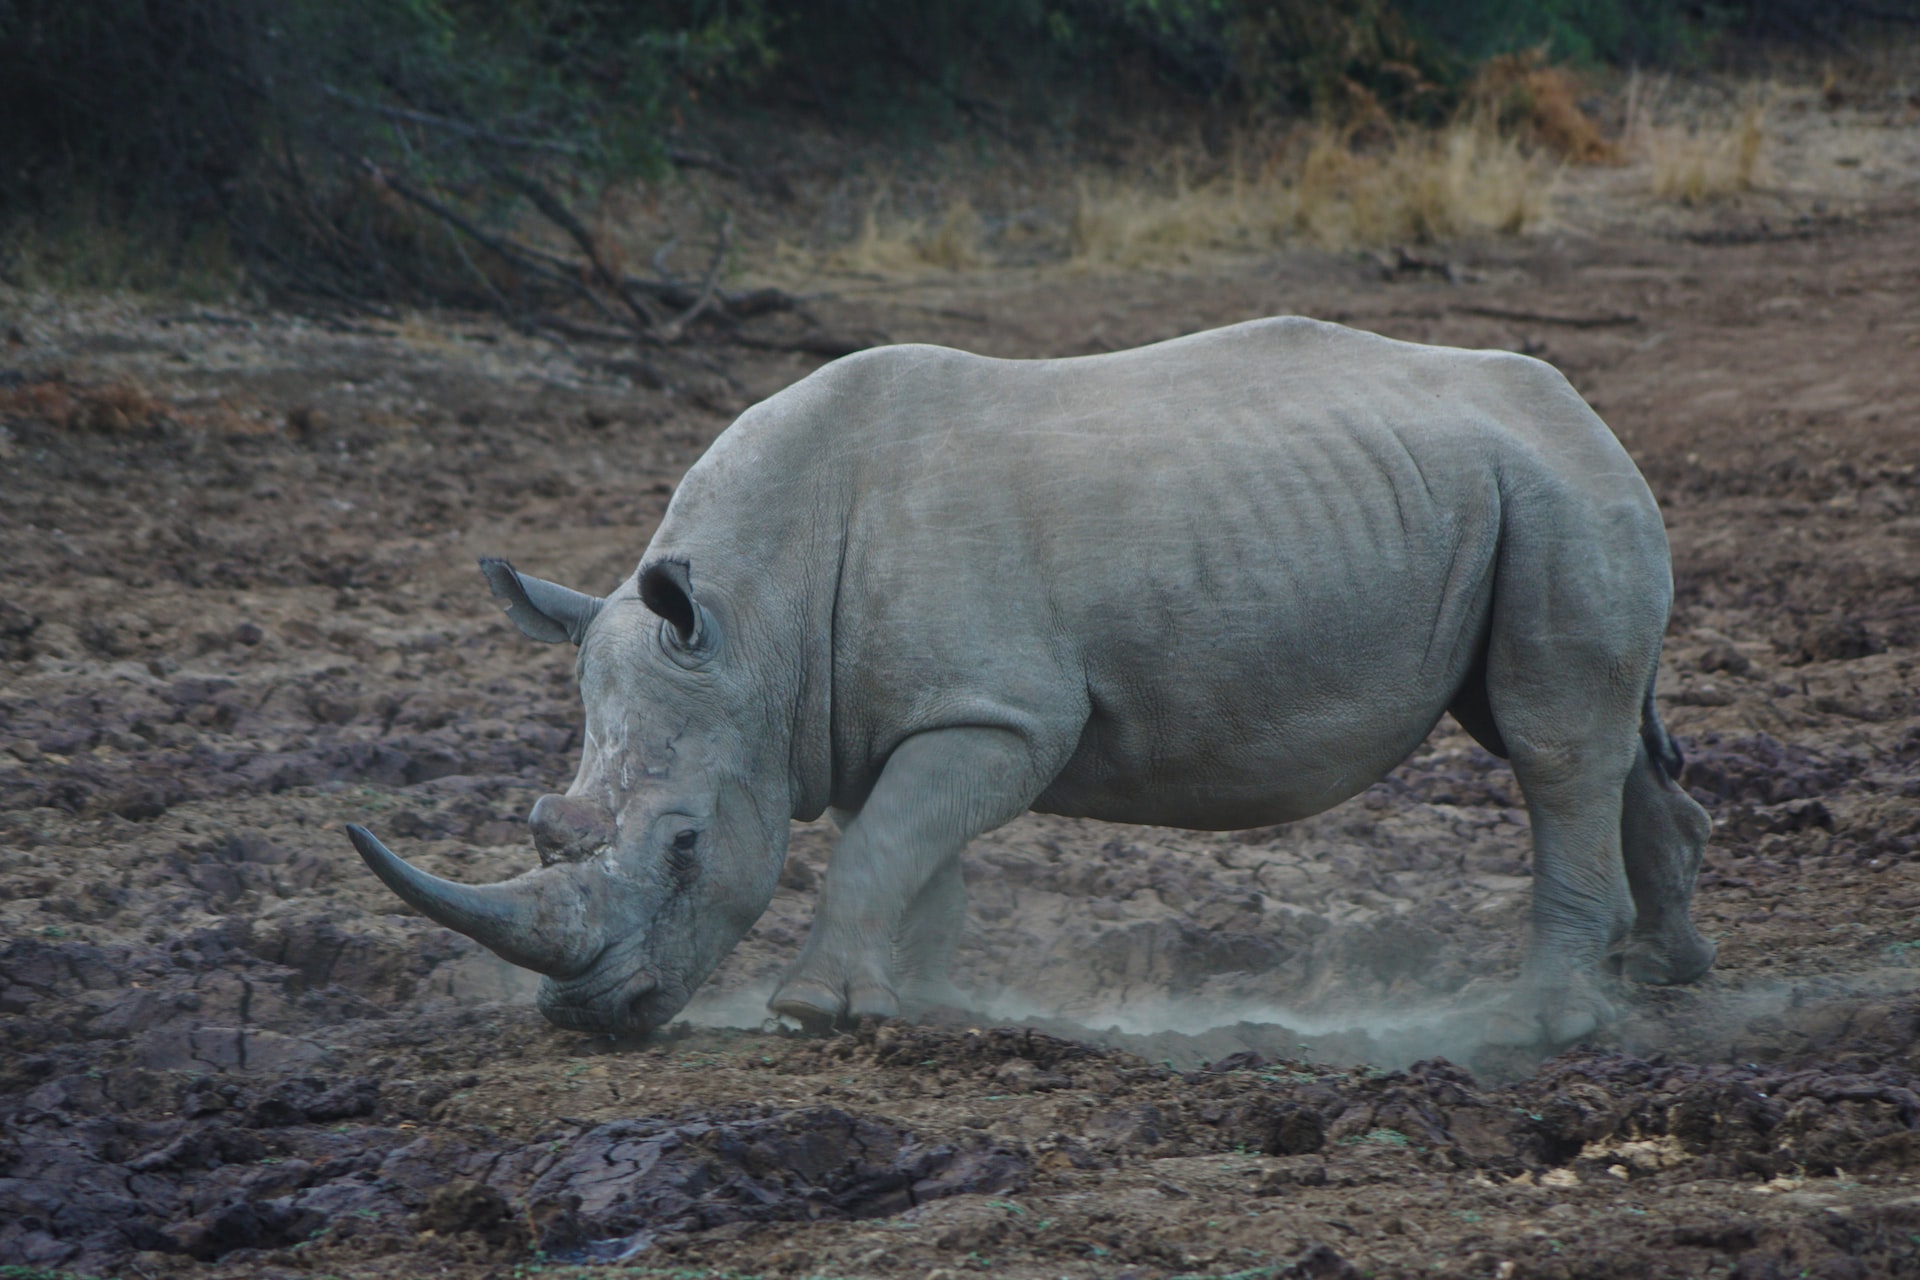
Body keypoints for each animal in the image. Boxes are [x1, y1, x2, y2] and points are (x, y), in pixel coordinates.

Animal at [345, 314, 1712, 1043]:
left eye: (684, 845)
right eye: (544, 824)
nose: (589, 1017)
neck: (750, 621)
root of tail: (1585, 410)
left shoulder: (1001, 712)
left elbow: (883, 842)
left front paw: (816, 1010)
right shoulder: (880, 709)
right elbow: (908, 848)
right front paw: (916, 1001)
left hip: (1559, 495)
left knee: (1548, 741)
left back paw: (1540, 1024)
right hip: (1507, 492)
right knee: (1581, 736)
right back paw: (1669, 976)